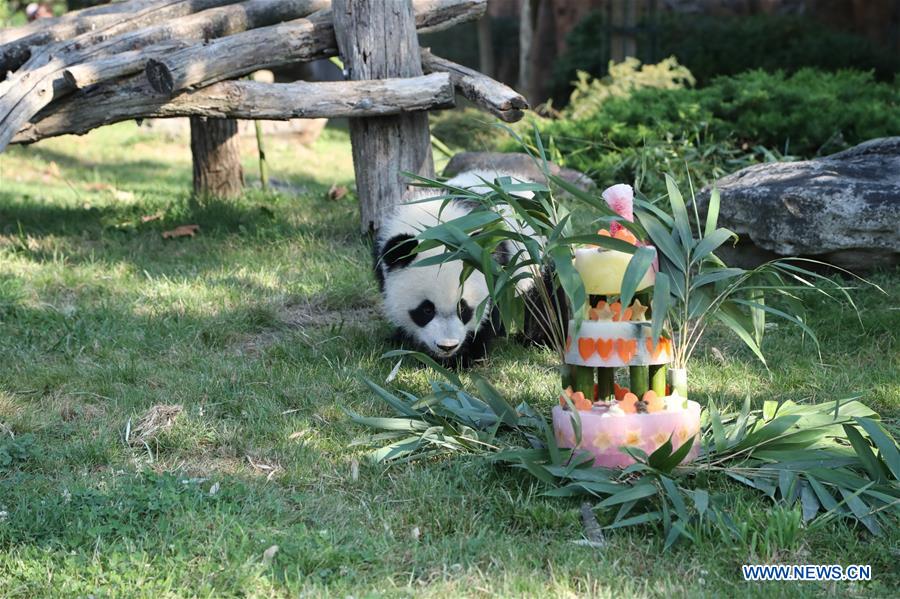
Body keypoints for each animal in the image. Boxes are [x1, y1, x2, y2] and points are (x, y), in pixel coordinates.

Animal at [374, 170, 543, 366]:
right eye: (427, 309)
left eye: (463, 308)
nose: (447, 347)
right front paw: (401, 340)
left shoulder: (494, 264)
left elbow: (489, 313)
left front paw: (465, 358)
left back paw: (536, 340)